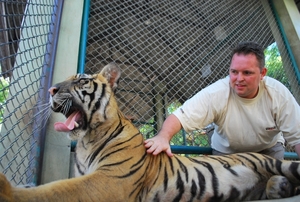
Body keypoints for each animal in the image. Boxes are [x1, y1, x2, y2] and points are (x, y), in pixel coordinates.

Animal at [0, 62, 300, 201]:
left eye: (81, 81)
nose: (51, 90)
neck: (86, 140)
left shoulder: (109, 181)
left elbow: (55, 190)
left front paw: (10, 190)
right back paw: (279, 187)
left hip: (273, 161)